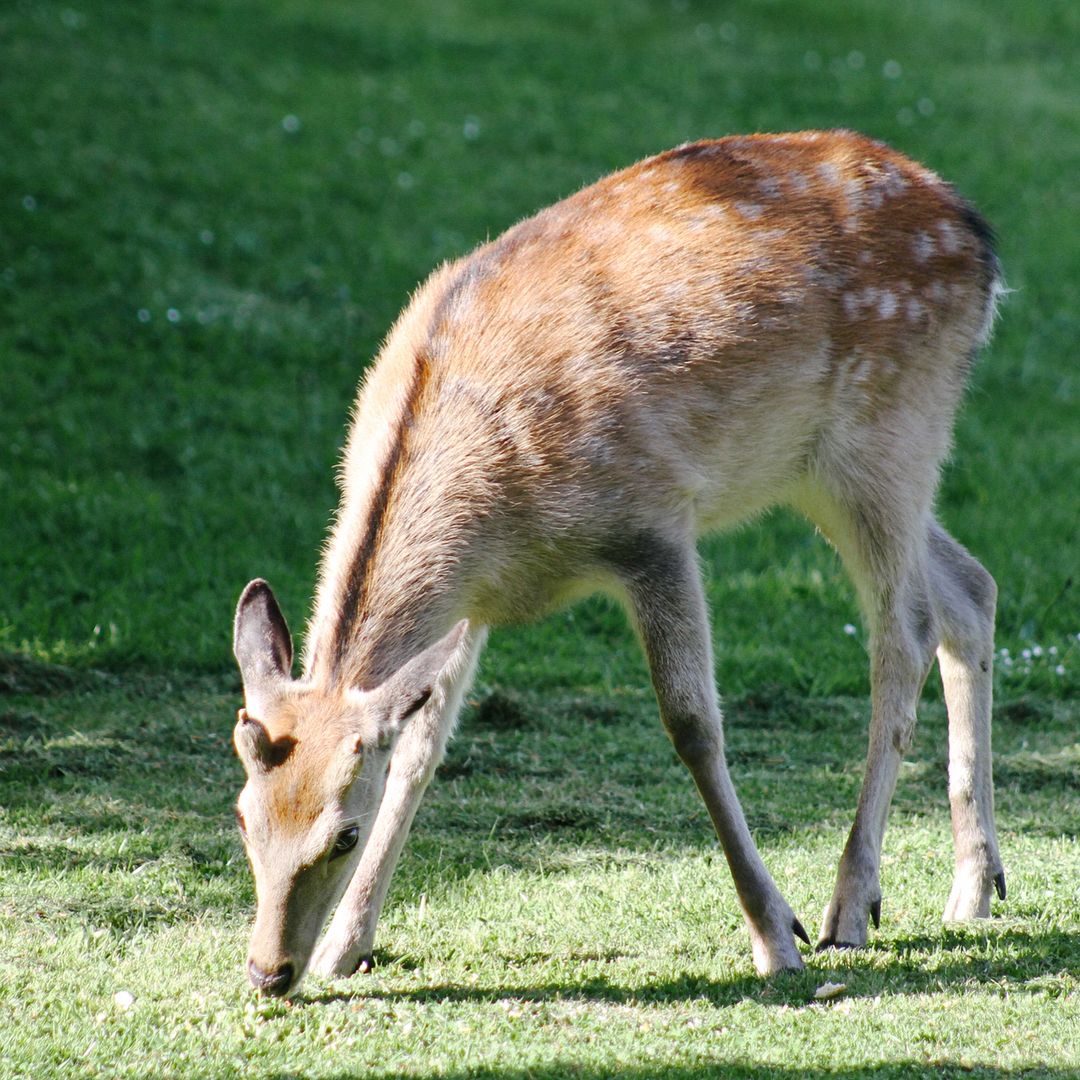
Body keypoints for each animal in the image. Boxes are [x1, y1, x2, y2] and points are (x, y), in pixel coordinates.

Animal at [231, 129, 1006, 998]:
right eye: (243, 816)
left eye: (341, 833)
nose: (268, 969)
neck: (495, 519)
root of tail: (975, 231)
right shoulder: (469, 601)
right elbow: (423, 746)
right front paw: (349, 944)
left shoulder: (651, 522)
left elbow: (694, 723)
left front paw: (777, 936)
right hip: (824, 468)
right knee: (970, 589)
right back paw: (974, 888)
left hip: (889, 428)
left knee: (904, 631)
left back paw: (850, 908)